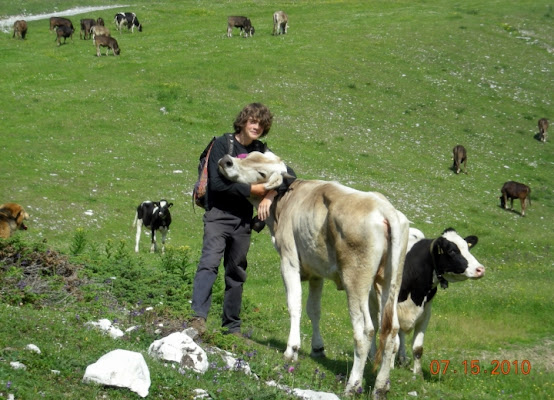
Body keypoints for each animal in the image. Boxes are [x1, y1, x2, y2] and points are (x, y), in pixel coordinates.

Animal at [218, 152, 408, 398]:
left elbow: (295, 304)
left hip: (356, 281)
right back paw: (381, 387)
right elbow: (314, 310)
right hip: (389, 282)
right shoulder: (316, 271)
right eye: (249, 155)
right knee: (392, 331)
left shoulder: (288, 260)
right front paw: (318, 348)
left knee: (365, 331)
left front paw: (292, 349)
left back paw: (353, 384)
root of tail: (384, 208)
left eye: (262, 173)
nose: (227, 160)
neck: (286, 201)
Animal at [370, 228, 484, 376]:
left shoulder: (425, 313)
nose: (480, 269)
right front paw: (389, 368)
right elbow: (392, 342)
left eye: (468, 248)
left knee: (401, 333)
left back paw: (402, 359)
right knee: (373, 328)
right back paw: (372, 356)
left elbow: (418, 348)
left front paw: (418, 374)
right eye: (452, 251)